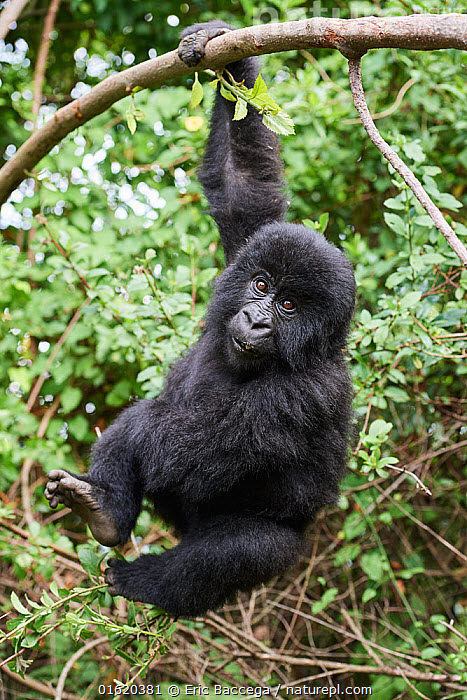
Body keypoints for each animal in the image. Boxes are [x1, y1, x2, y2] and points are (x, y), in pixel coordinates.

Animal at [45, 19, 356, 616]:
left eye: (288, 307)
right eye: (261, 285)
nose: (256, 320)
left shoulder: (306, 393)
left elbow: (192, 445)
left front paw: (136, 431)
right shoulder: (249, 243)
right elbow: (243, 182)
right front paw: (222, 49)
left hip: (282, 546)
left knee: (232, 552)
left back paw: (143, 575)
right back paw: (105, 509)